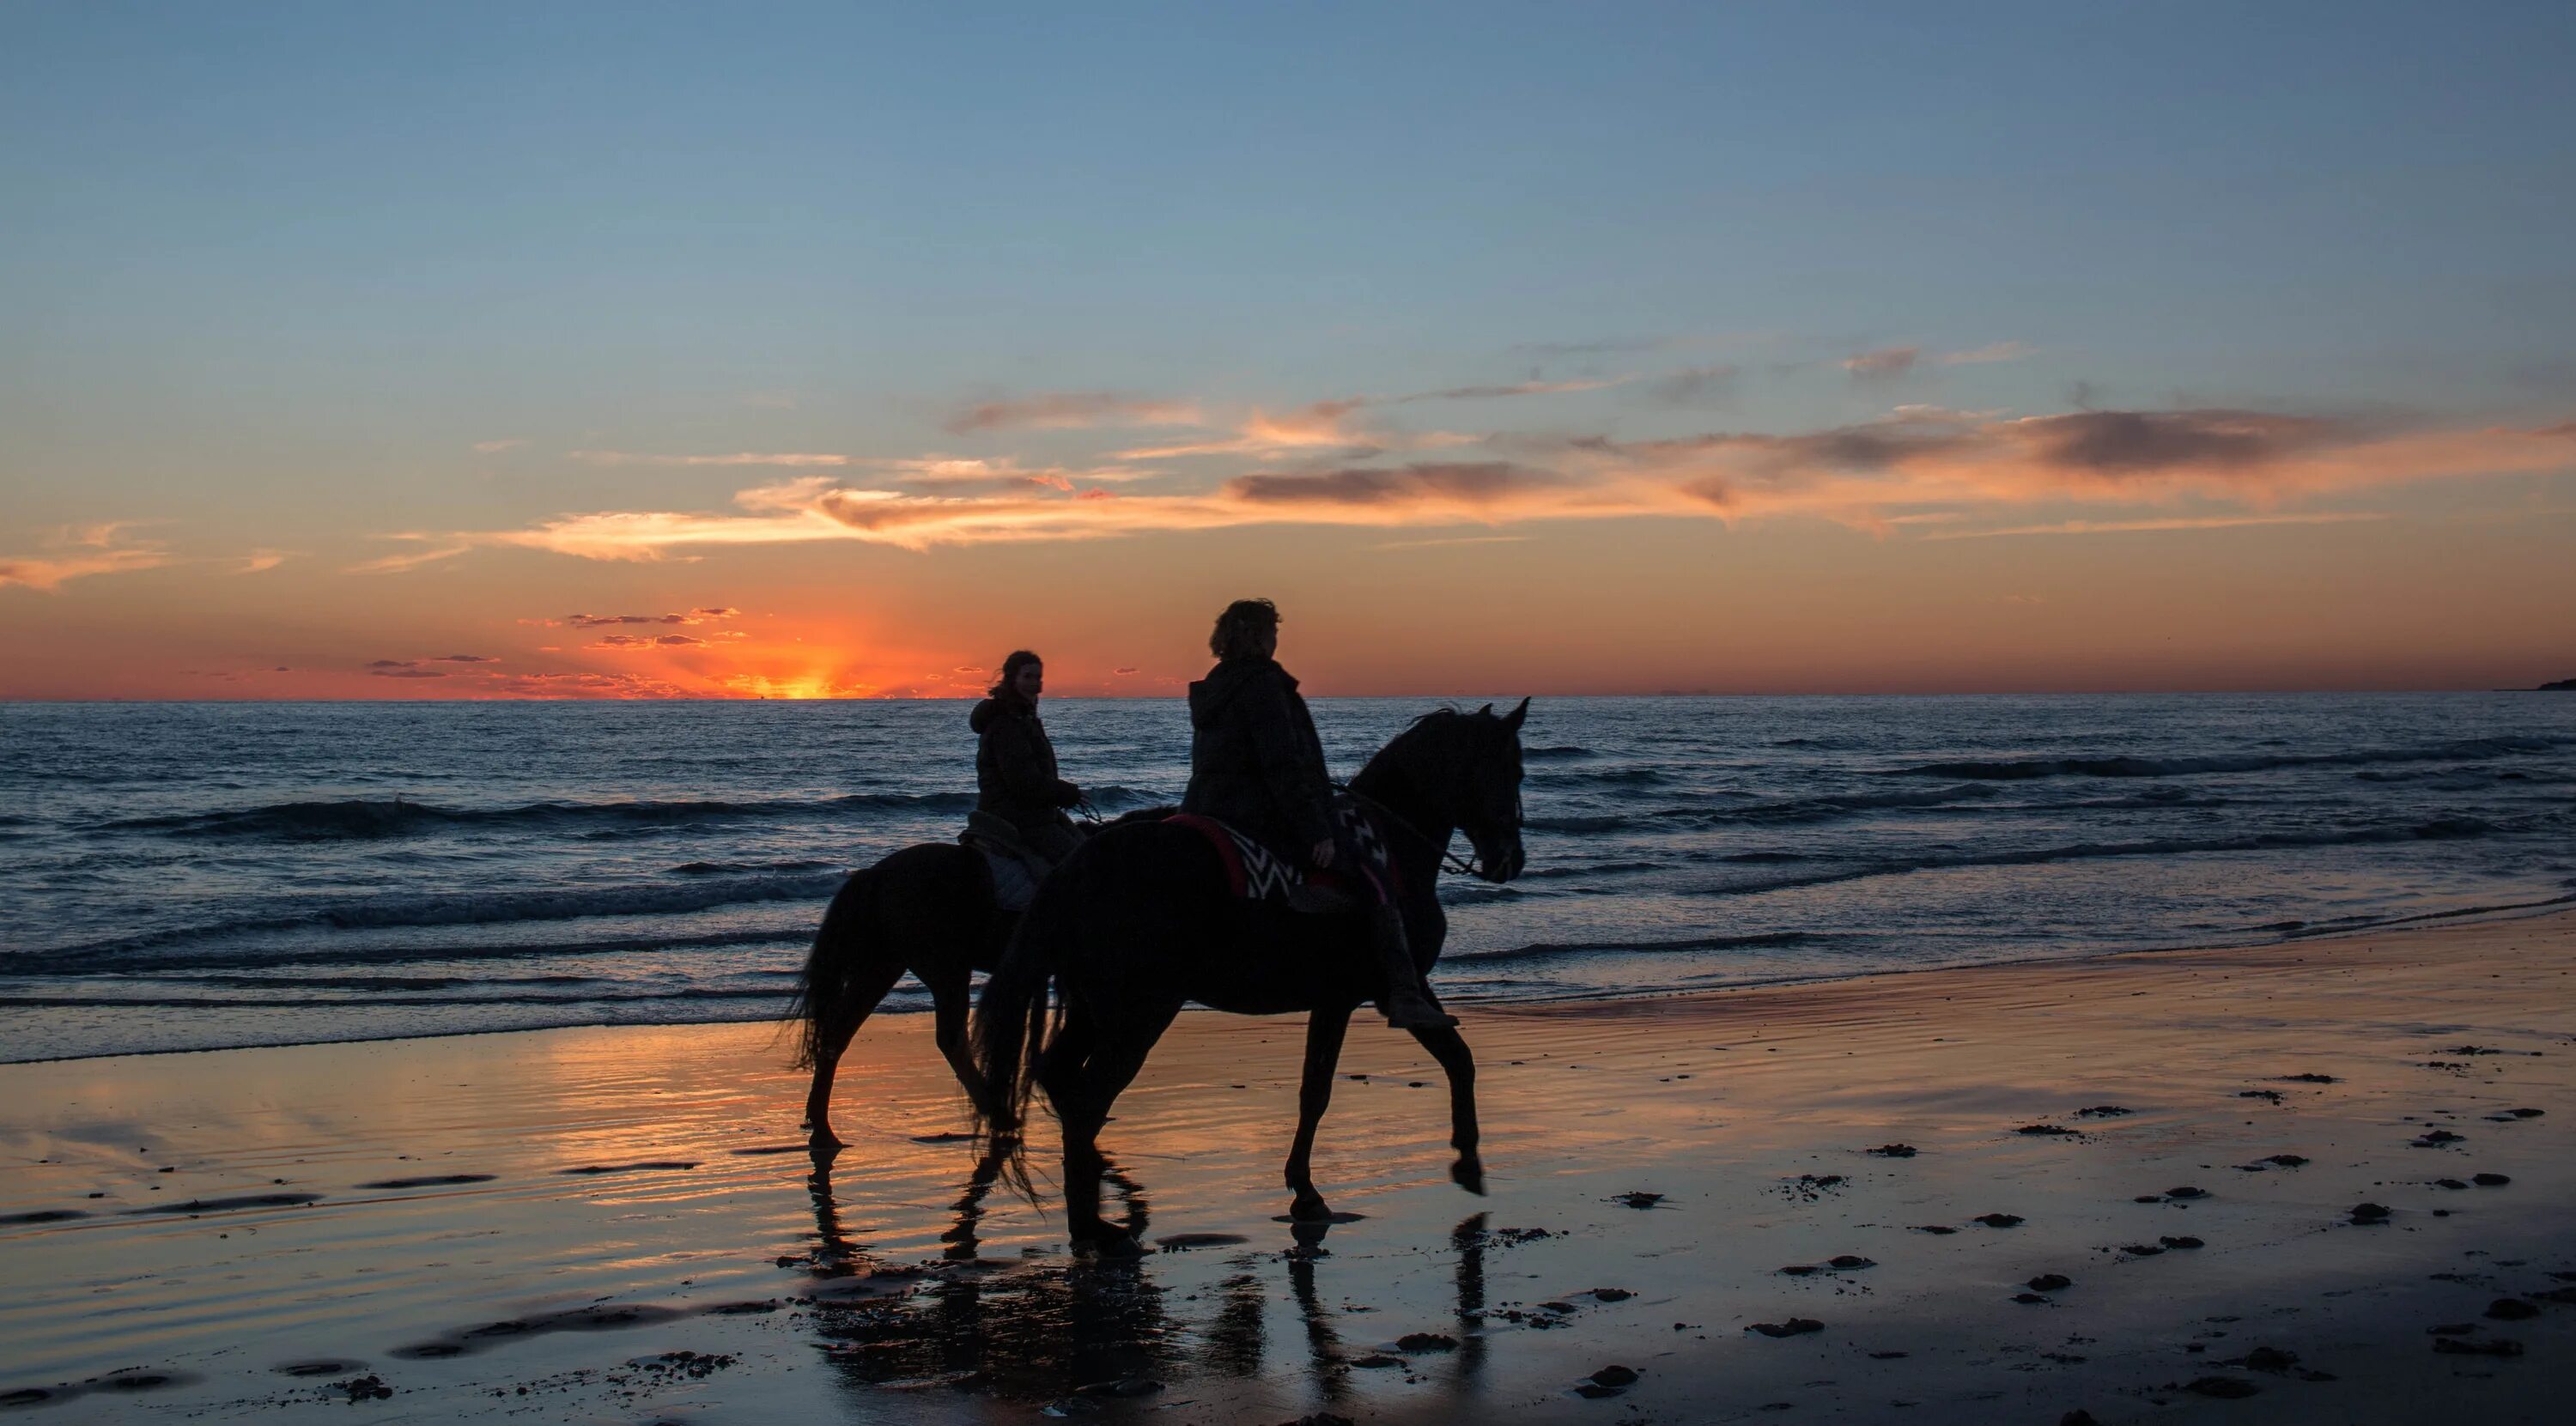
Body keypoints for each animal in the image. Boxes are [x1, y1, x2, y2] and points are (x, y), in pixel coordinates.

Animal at [974, 695, 1515, 1246]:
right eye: (1507, 770)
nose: (1510, 859)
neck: (1393, 852)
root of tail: (1077, 867)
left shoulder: (1373, 994)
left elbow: (1456, 1060)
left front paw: (1465, 1162)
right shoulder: (1365, 993)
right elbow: (1320, 1091)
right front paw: (1309, 1189)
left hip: (1093, 1009)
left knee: (1060, 1079)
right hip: (1138, 1015)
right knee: (1087, 1103)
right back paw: (1093, 1228)